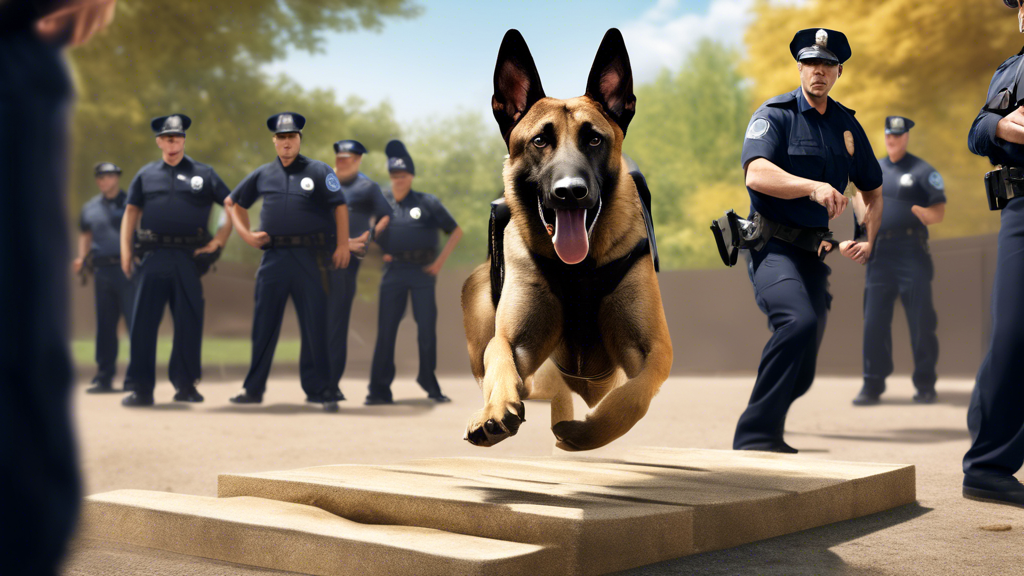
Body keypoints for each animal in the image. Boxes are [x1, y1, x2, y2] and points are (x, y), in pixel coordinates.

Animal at [462, 29, 671, 450]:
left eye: (594, 140)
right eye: (540, 141)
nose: (570, 192)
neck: (579, 270)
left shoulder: (653, 349)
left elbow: (631, 397)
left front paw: (583, 433)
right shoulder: (514, 342)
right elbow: (500, 358)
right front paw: (495, 411)